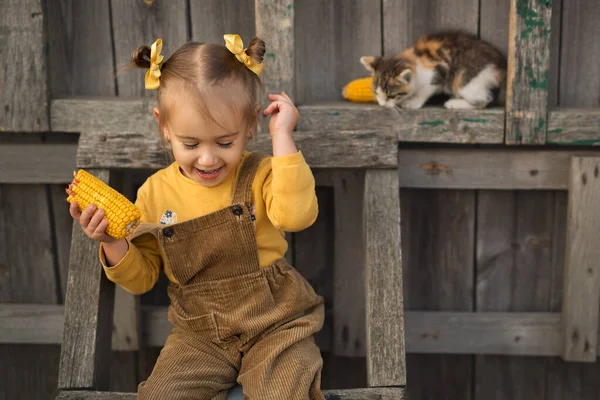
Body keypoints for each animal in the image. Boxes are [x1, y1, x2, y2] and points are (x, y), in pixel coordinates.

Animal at [360, 30, 506, 109]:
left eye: (391, 96)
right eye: (376, 92)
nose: (382, 104)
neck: (414, 60)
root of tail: (501, 66)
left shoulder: (438, 72)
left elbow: (426, 90)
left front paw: (413, 102)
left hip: (466, 80)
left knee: (483, 100)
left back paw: (453, 103)